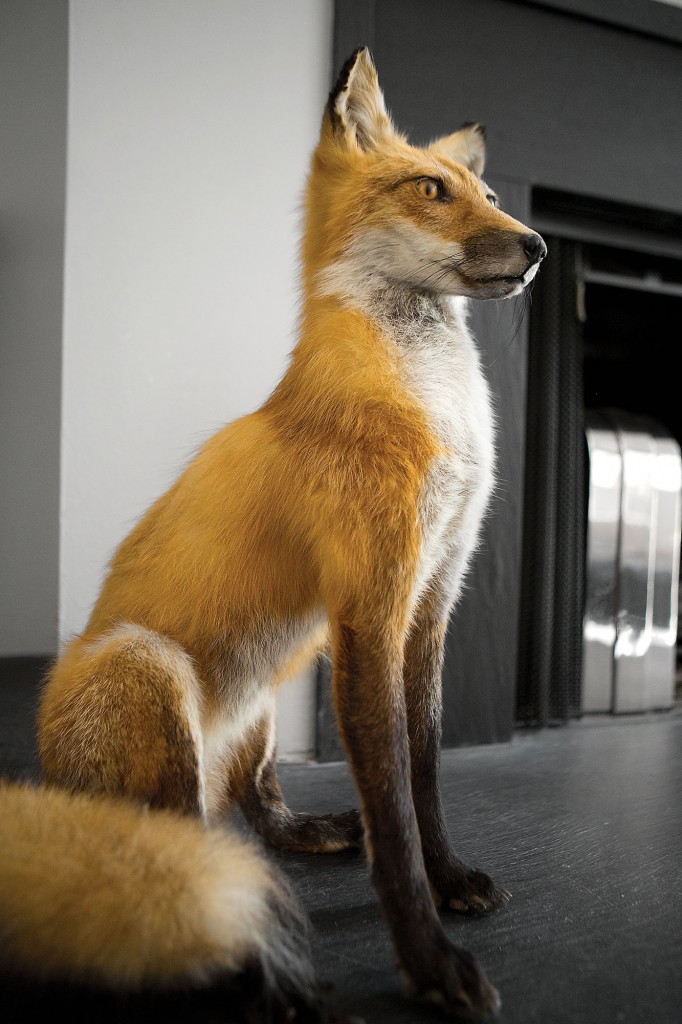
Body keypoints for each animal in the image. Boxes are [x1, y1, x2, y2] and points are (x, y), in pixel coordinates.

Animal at [2, 47, 546, 1021]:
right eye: (430, 189)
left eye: (485, 192)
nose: (539, 246)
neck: (436, 410)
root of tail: (49, 780)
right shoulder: (371, 604)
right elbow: (393, 814)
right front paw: (429, 959)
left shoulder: (433, 597)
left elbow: (424, 774)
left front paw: (449, 879)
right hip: (147, 666)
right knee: (182, 864)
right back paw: (261, 981)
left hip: (263, 693)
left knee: (252, 814)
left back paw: (311, 833)